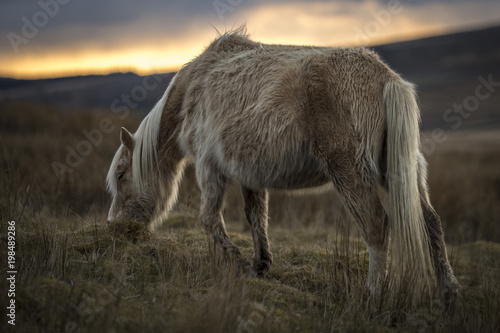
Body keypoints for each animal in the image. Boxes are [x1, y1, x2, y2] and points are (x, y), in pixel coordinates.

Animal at [106, 27, 460, 308]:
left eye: (122, 175)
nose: (114, 228)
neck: (192, 90)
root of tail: (386, 79)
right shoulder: (248, 172)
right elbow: (256, 215)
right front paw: (260, 264)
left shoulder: (209, 166)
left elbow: (209, 218)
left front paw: (239, 263)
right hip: (400, 170)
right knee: (430, 221)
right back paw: (449, 293)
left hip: (350, 171)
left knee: (376, 227)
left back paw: (373, 296)